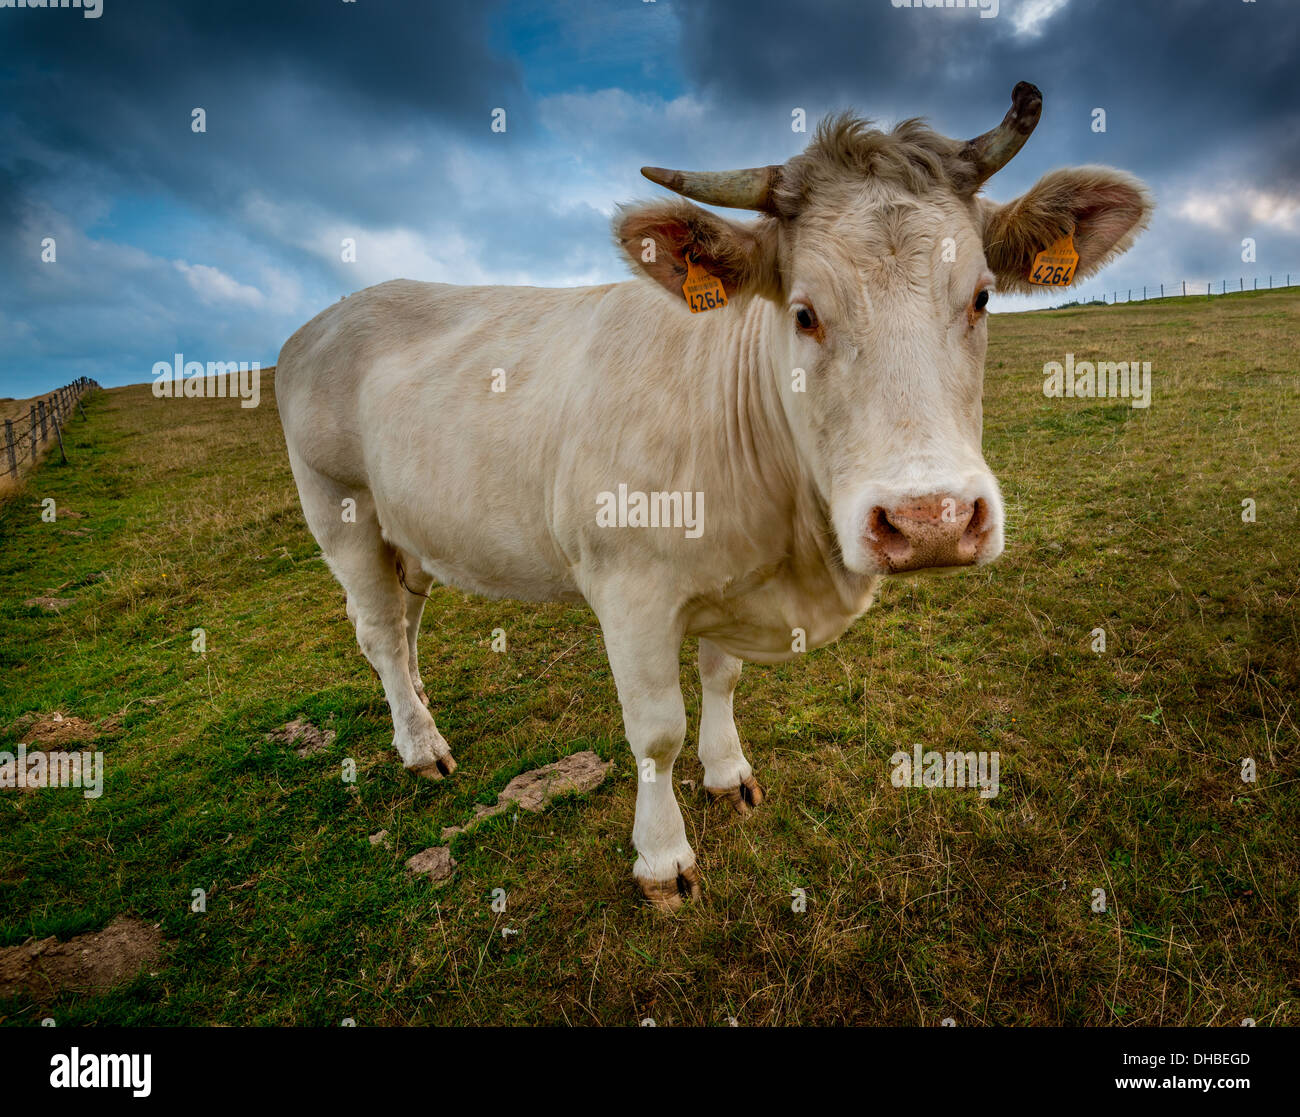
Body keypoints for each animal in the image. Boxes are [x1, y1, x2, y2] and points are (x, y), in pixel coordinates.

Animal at [279, 85, 1154, 910]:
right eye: (804, 312)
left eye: (980, 297)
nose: (930, 521)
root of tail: (321, 322)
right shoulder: (629, 590)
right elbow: (655, 732)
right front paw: (662, 858)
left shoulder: (731, 582)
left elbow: (721, 679)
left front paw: (728, 772)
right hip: (340, 510)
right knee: (378, 631)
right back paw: (420, 746)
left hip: (409, 527)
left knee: (406, 618)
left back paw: (420, 710)